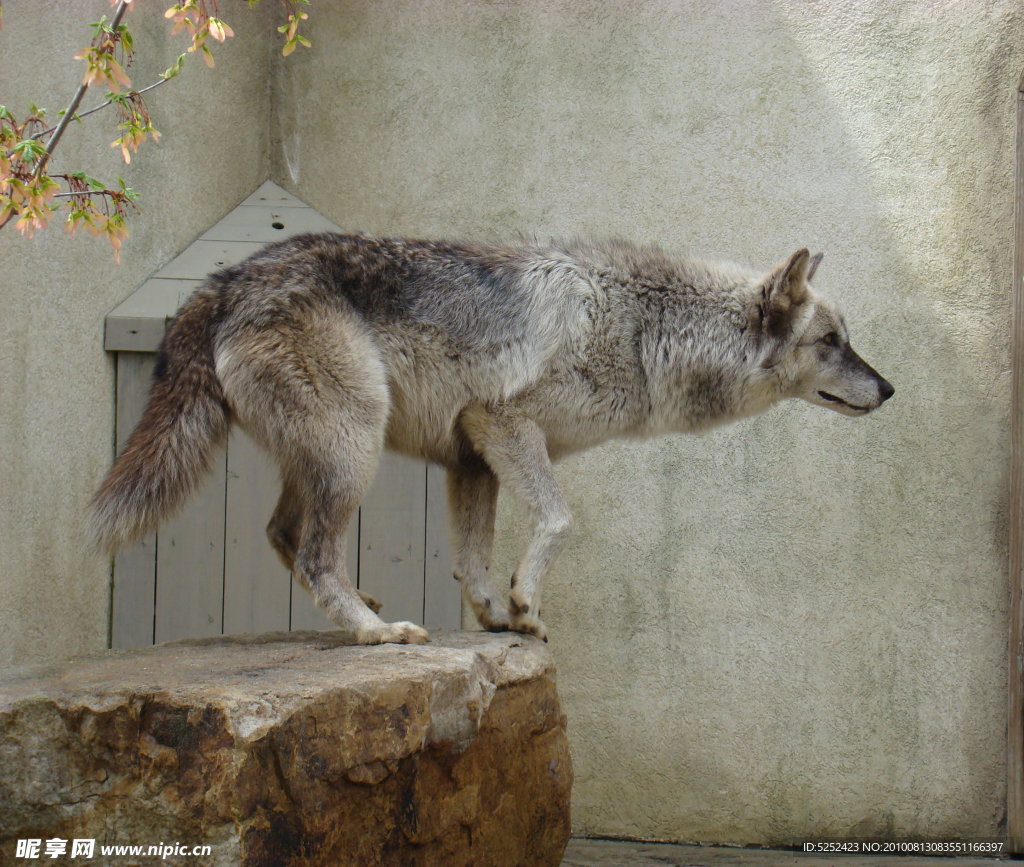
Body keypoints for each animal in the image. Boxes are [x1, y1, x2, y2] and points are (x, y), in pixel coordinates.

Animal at [92, 234, 892, 646]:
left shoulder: (469, 456)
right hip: (355, 449)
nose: (888, 390)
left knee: (282, 535)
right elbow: (560, 521)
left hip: (331, 455)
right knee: (316, 553)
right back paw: (377, 632)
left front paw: (494, 615)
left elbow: (470, 558)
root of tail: (222, 280)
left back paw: (363, 609)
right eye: (832, 342)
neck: (643, 329)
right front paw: (525, 602)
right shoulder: (501, 424)